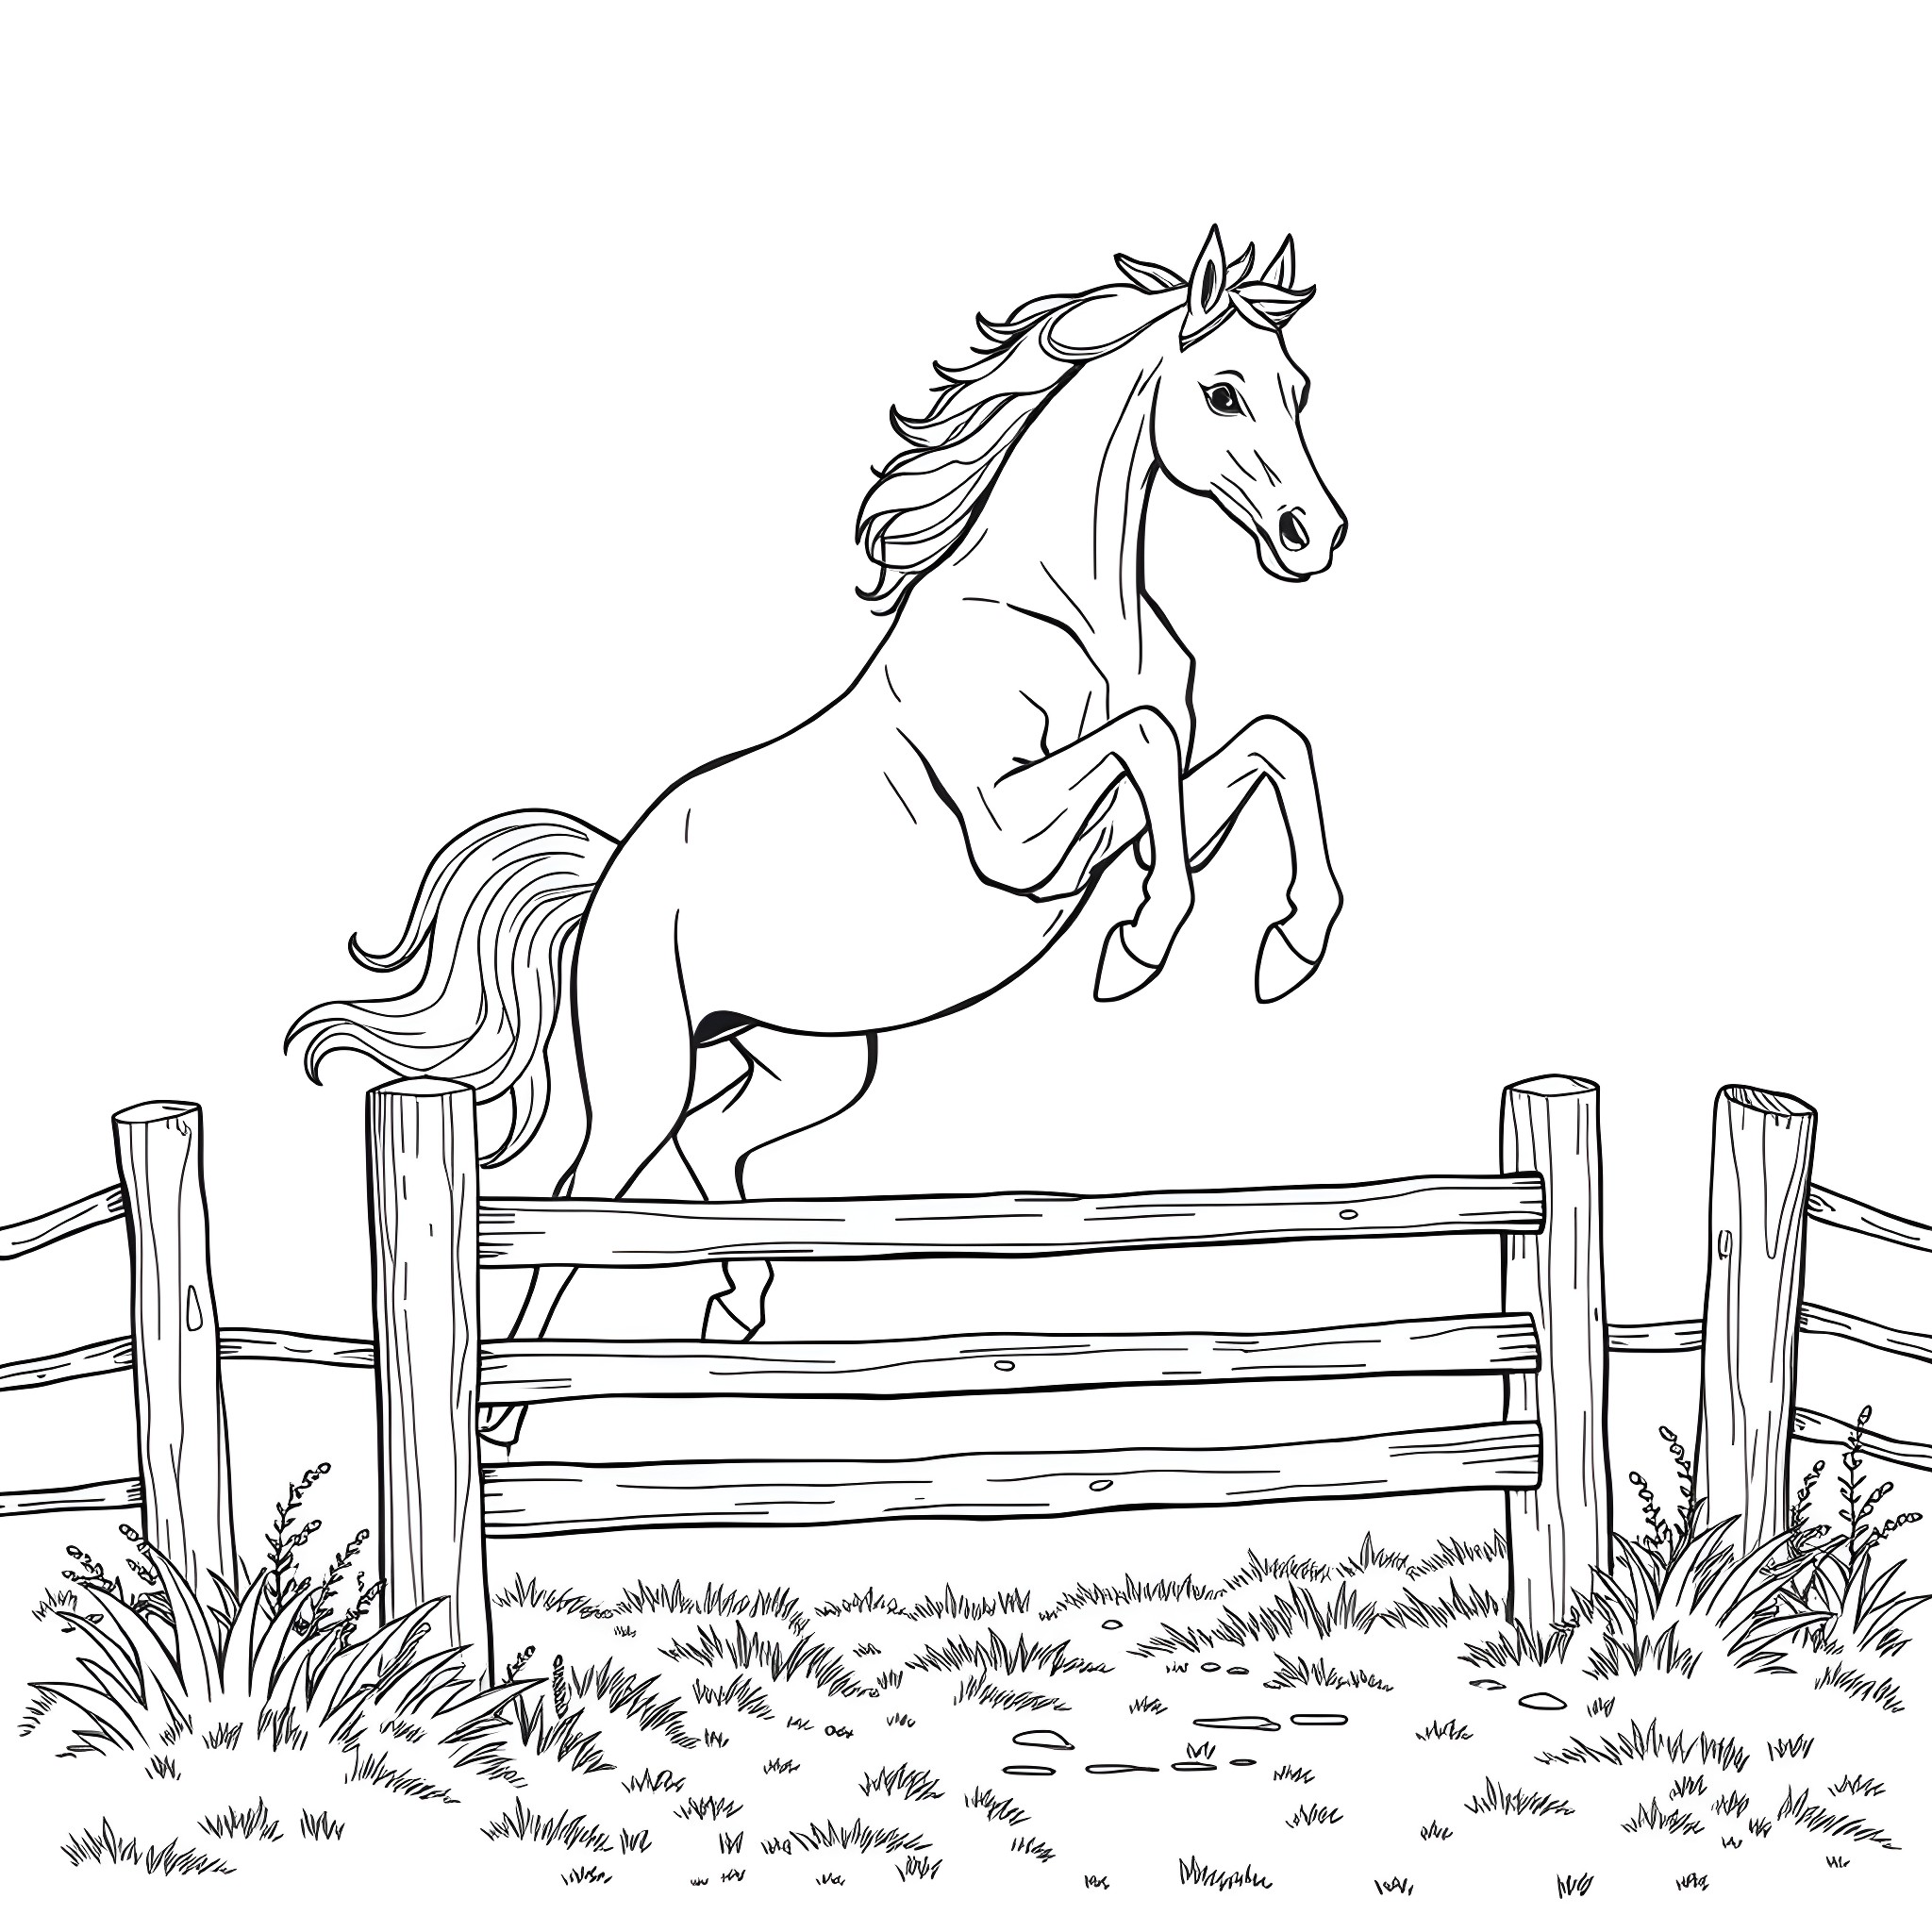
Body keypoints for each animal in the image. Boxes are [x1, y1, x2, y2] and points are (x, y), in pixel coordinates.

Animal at [287, 224, 1348, 1448]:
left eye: (1298, 387)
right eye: (1221, 391)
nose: (1314, 536)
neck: (1070, 614)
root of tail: (608, 878)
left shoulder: (1141, 805)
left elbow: (1265, 749)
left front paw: (1285, 948)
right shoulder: (1013, 839)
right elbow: (1144, 746)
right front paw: (1137, 948)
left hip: (812, 1063)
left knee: (711, 1146)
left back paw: (739, 1303)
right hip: (645, 1072)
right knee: (579, 1197)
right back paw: (505, 1415)